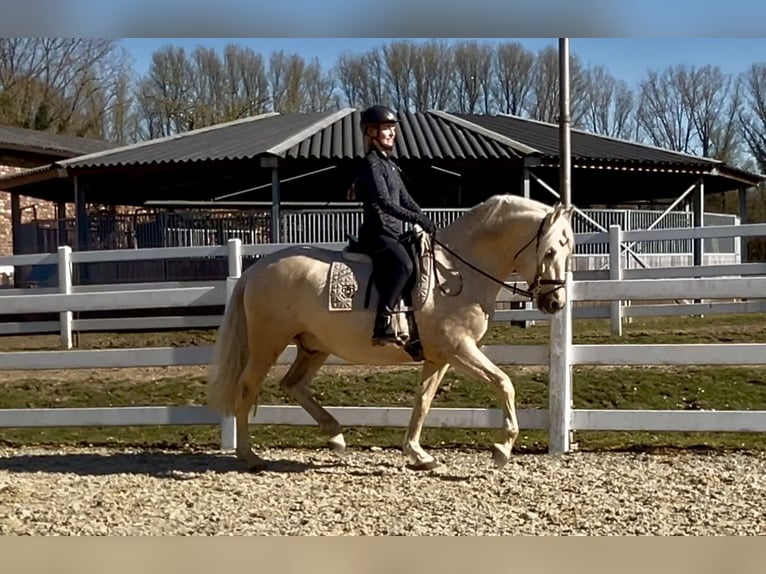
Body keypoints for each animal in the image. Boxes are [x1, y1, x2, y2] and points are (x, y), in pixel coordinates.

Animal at [206, 194, 575, 471]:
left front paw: (418, 454)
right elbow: (504, 383)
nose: (556, 302)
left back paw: (335, 435)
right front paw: (502, 448)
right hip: (267, 344)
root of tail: (254, 269)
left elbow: (423, 400)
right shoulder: (460, 349)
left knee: (292, 384)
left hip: (314, 347)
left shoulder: (440, 357)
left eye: (568, 251)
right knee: (246, 389)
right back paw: (250, 456)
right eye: (550, 251)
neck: (457, 272)